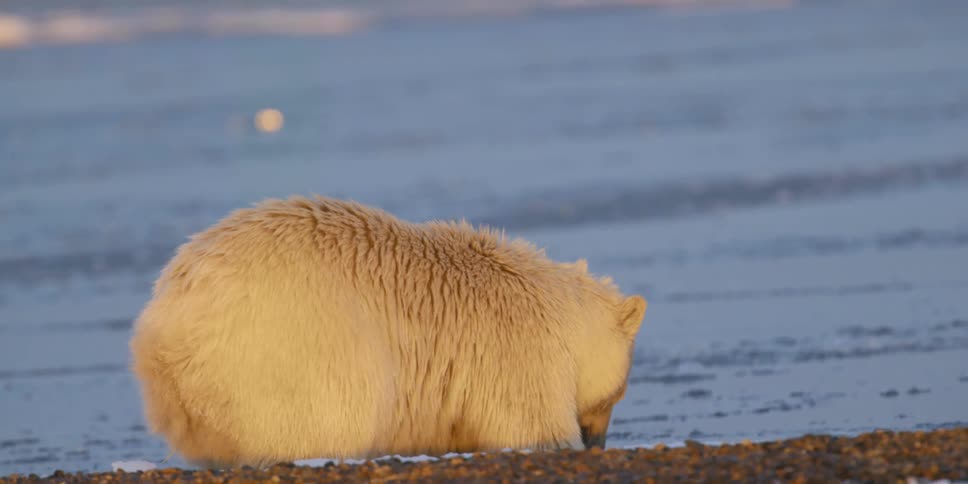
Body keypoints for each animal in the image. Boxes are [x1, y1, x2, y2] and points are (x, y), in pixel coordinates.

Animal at [130, 195, 647, 468]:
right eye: (617, 393)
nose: (599, 443)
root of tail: (167, 324)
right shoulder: (514, 348)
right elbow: (533, 424)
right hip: (297, 348)